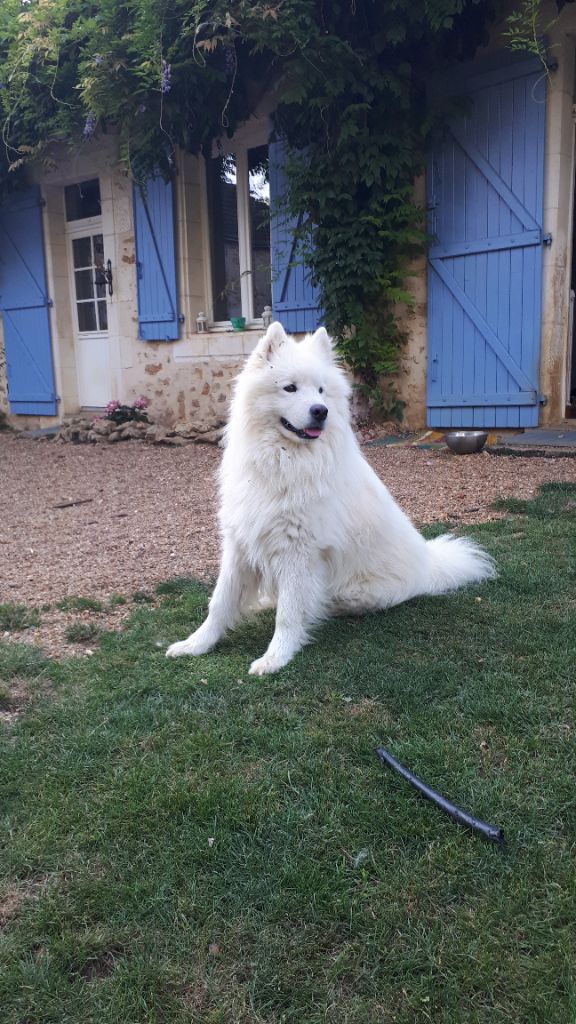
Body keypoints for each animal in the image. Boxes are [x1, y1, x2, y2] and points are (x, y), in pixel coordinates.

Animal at [167, 322, 496, 675]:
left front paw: (275, 657)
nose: (320, 411)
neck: (283, 459)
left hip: (357, 590)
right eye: (290, 388)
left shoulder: (299, 551)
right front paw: (195, 644)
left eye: (322, 391)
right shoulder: (240, 542)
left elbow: (288, 614)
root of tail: (430, 565)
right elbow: (220, 602)